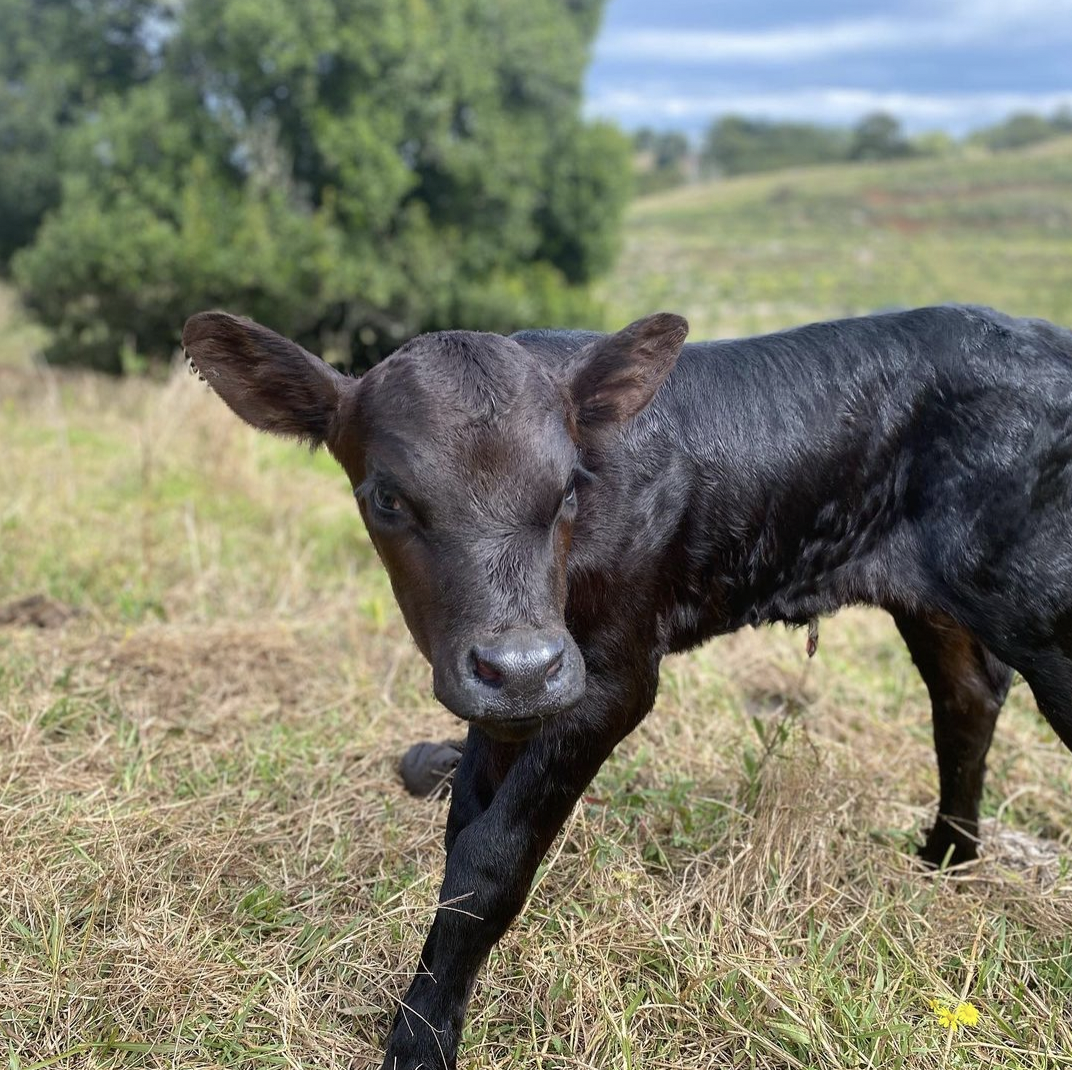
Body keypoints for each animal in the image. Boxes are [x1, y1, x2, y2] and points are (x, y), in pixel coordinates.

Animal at [182, 304, 1072, 1069]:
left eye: (569, 488)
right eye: (388, 497)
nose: (523, 665)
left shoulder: (610, 677)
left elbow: (491, 862)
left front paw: (422, 1040)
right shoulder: (502, 695)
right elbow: (465, 823)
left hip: (1040, 604)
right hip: (938, 599)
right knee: (966, 696)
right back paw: (946, 862)